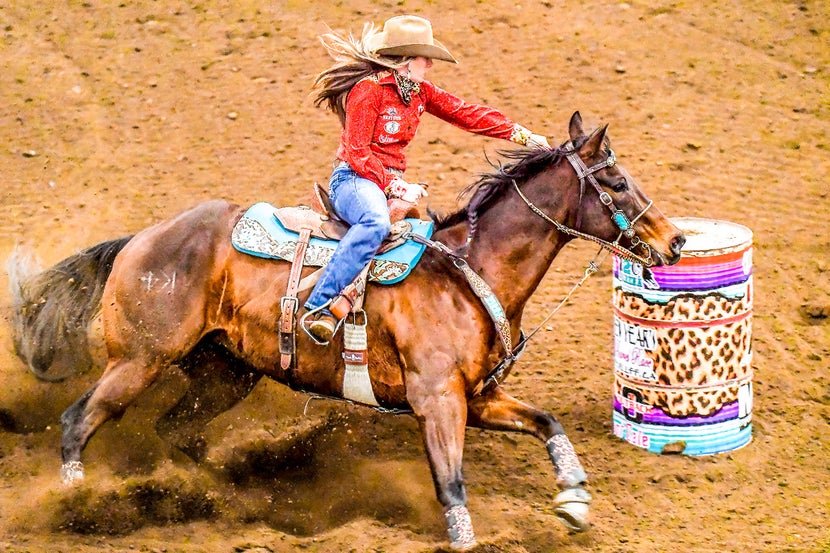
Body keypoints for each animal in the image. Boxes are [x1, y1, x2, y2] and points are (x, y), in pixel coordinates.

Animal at [8, 111, 684, 548]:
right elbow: (451, 483)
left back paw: (230, 495)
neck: (468, 272)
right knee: (78, 421)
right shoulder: (436, 400)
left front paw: (573, 499)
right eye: (617, 182)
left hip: (227, 372)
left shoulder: (478, 397)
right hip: (140, 361)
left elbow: (548, 423)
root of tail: (142, 240)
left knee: (178, 430)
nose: (675, 241)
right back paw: (75, 504)